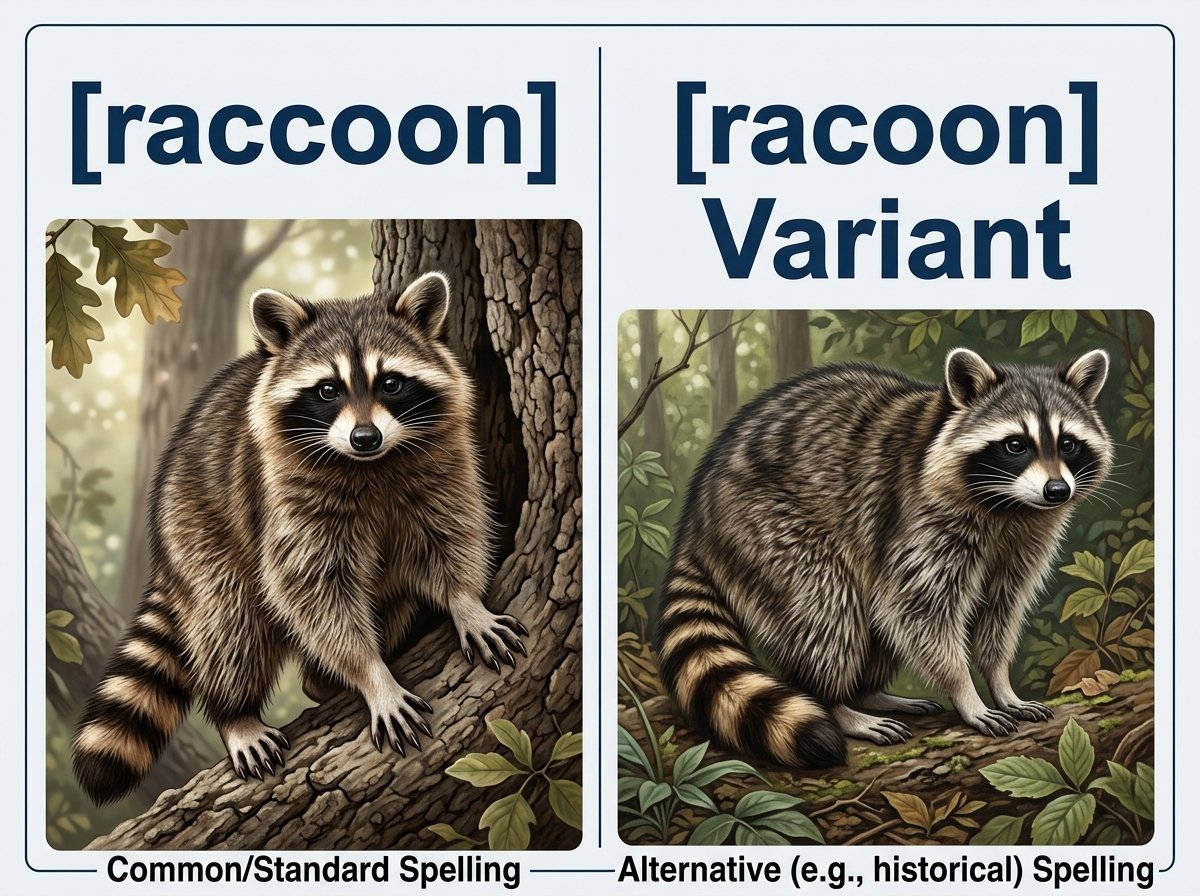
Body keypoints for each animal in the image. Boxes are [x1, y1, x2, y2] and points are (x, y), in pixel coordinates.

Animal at [73, 272, 526, 804]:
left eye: (391, 383)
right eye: (328, 390)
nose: (365, 438)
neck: (371, 464)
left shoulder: (443, 461)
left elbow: (449, 533)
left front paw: (465, 602)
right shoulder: (285, 494)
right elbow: (312, 587)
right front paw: (372, 674)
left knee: (390, 597)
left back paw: (321, 678)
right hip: (198, 528)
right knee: (230, 621)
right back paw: (236, 712)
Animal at [657, 347, 1112, 767]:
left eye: (1068, 444)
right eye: (1015, 445)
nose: (1057, 491)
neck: (1008, 506)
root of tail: (695, 516)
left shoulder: (1025, 540)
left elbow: (1000, 610)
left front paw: (1000, 684)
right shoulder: (920, 517)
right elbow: (918, 610)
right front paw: (966, 693)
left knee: (867, 619)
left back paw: (869, 693)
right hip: (766, 527)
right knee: (828, 608)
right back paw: (834, 702)